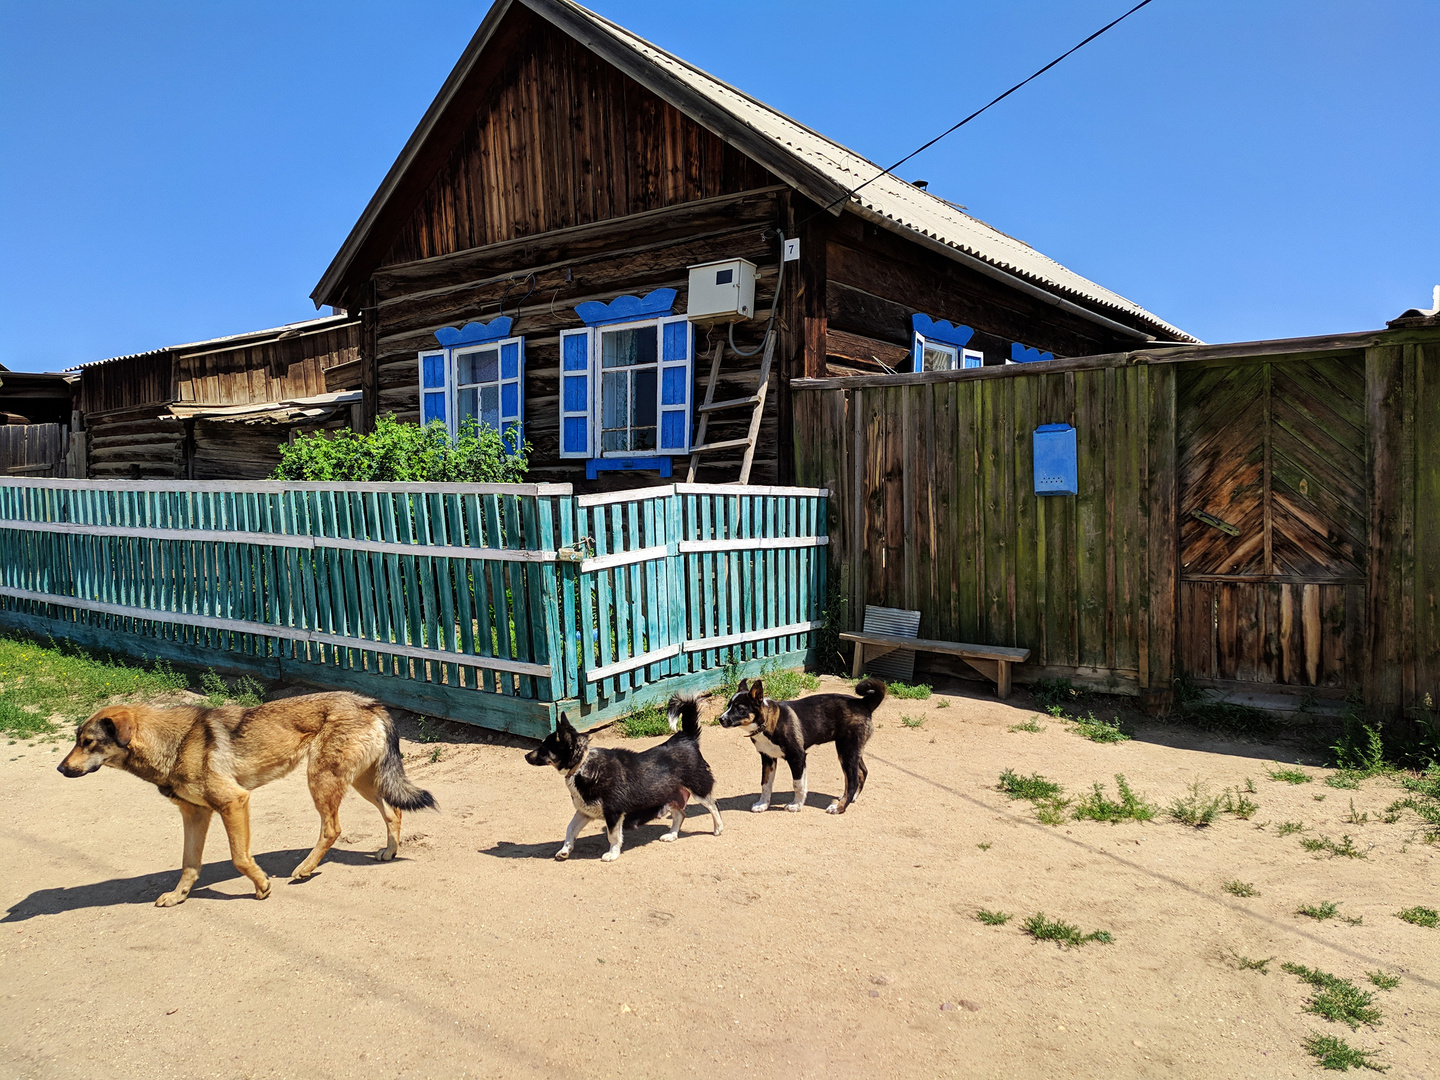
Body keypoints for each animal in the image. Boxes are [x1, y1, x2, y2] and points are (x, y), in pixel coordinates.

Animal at [56, 694, 434, 904]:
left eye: (89, 742)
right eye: (76, 740)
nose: (60, 768)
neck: (173, 743)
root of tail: (369, 703)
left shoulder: (233, 803)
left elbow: (239, 858)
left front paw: (262, 884)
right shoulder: (195, 815)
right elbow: (188, 864)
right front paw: (179, 896)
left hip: (322, 781)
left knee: (333, 829)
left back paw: (305, 869)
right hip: (361, 782)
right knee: (394, 812)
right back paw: (389, 851)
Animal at [521, 702, 720, 864]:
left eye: (543, 748)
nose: (525, 756)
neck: (582, 765)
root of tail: (686, 737)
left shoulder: (613, 813)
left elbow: (613, 837)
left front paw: (612, 854)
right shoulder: (584, 812)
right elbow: (570, 829)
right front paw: (565, 850)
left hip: (698, 789)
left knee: (713, 806)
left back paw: (718, 828)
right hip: (670, 795)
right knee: (680, 814)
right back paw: (671, 835)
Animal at [717, 679, 881, 817]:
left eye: (740, 709)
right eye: (728, 706)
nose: (720, 719)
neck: (766, 723)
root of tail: (863, 703)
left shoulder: (797, 757)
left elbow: (798, 784)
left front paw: (796, 805)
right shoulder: (768, 758)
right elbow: (765, 784)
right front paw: (763, 804)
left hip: (846, 751)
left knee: (852, 780)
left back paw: (839, 807)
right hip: (853, 750)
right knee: (863, 772)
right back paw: (850, 799)